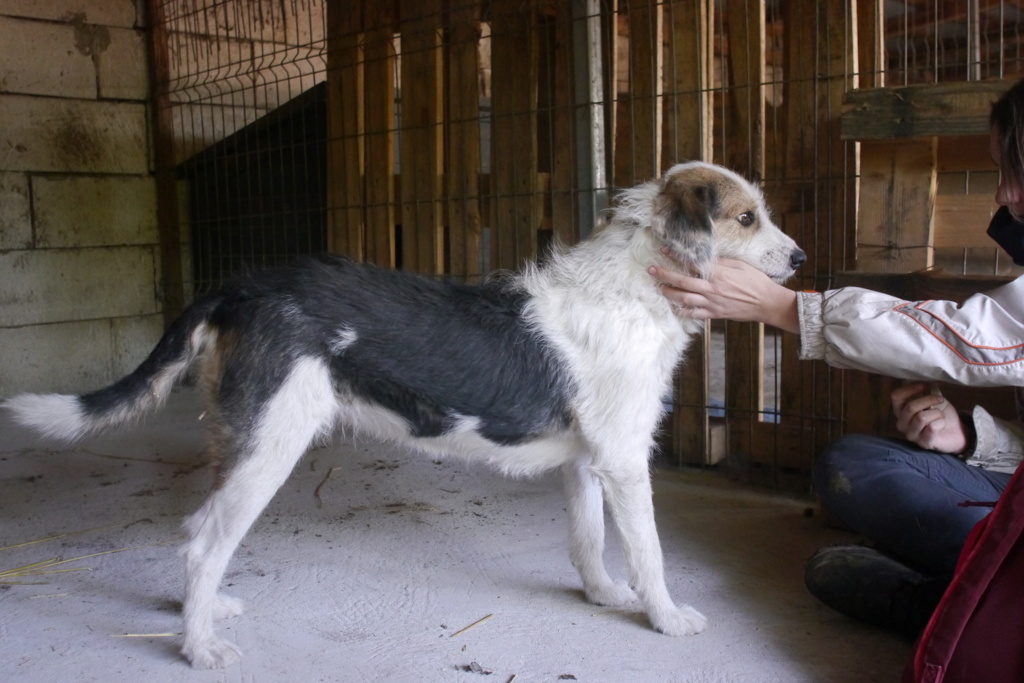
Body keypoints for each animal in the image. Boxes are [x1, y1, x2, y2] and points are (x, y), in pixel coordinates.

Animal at [6, 161, 806, 667]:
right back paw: (200, 649)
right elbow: (649, 553)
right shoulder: (624, 461)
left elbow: (589, 543)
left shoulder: (587, 461)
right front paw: (665, 617)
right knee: (205, 540)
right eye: (745, 217)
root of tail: (241, 286)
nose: (800, 261)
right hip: (270, 443)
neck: (637, 281)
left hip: (241, 440)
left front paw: (604, 597)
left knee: (196, 530)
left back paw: (202, 615)